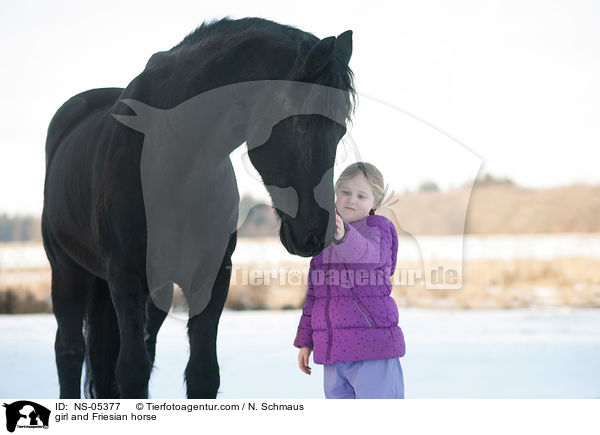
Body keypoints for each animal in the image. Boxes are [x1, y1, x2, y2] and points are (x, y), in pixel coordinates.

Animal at [43, 16, 356, 398]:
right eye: (299, 124)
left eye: (341, 130)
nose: (315, 233)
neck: (174, 160)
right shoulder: (124, 276)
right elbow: (130, 371)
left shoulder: (212, 276)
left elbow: (203, 373)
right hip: (67, 273)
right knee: (69, 352)